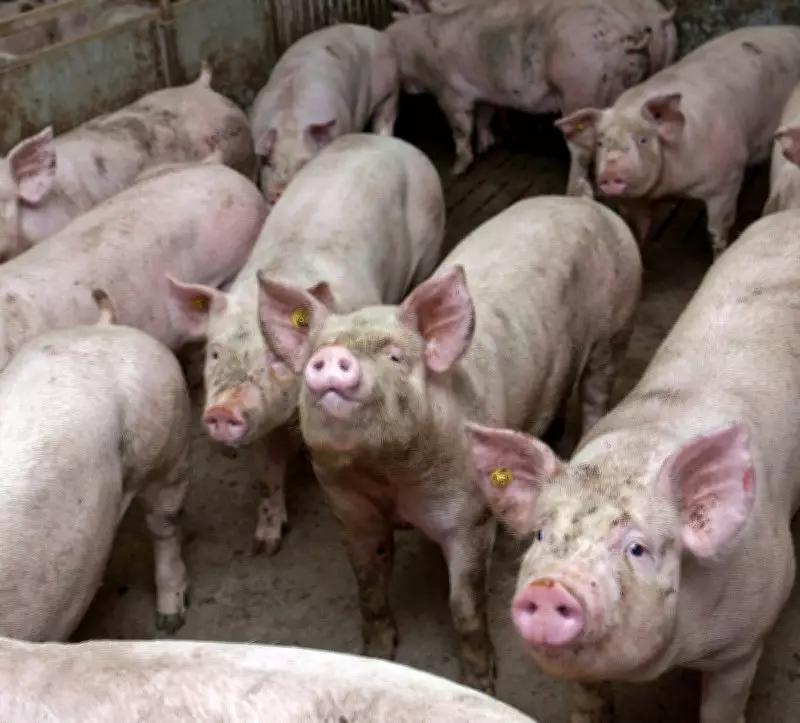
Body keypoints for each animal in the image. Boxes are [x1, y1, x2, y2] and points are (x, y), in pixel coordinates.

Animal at [166, 133, 443, 556]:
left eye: (277, 358)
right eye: (214, 353)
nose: (224, 412)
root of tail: (386, 139)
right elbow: (268, 471)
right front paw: (266, 544)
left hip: (429, 243)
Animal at [249, 24, 400, 206]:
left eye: (305, 163)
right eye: (270, 163)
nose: (277, 190)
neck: (290, 121)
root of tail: (378, 34)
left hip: (392, 90)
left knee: (385, 120)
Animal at [256, 195, 642, 694]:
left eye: (395, 357)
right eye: (312, 359)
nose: (331, 358)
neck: (387, 473)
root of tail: (586, 203)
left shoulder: (470, 517)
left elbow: (464, 604)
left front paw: (482, 683)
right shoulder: (347, 505)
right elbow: (367, 580)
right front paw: (377, 652)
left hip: (618, 325)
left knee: (596, 390)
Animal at [385, 0, 675, 176]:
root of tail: (630, 36)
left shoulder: (450, 93)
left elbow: (461, 129)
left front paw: (457, 169)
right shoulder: (486, 93)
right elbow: (484, 118)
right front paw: (488, 146)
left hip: (580, 90)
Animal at [464, 208, 800, 722]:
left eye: (637, 548)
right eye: (540, 534)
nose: (550, 587)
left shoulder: (748, 637)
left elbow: (724, 707)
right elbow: (590, 700)